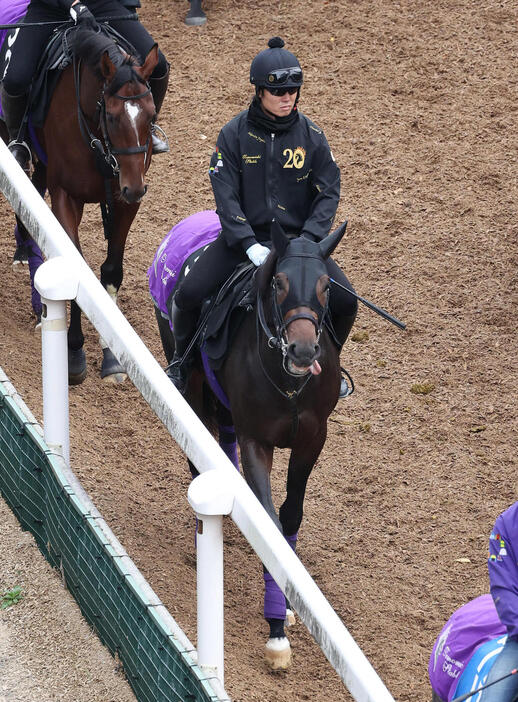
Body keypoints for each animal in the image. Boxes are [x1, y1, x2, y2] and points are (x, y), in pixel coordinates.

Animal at [1, 24, 158, 384]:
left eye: (151, 114)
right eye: (112, 117)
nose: (134, 188)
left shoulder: (124, 201)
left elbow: (111, 270)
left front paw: (112, 356)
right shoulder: (67, 196)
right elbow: (78, 269)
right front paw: (73, 351)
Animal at [154, 220, 350, 672]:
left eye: (325, 285)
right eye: (278, 282)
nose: (303, 350)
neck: (290, 383)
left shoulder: (313, 438)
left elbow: (290, 516)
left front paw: (289, 608)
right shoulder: (256, 440)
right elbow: (272, 524)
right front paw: (276, 628)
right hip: (190, 381)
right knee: (197, 456)